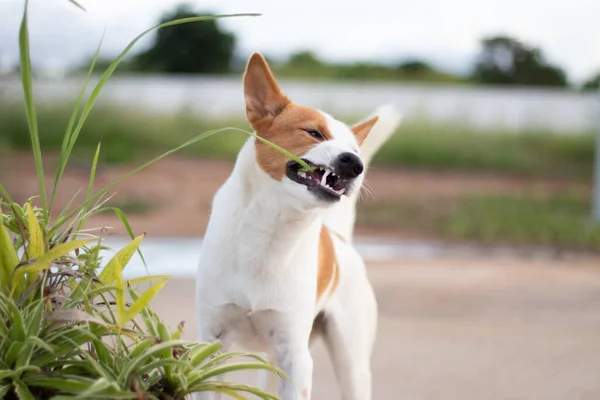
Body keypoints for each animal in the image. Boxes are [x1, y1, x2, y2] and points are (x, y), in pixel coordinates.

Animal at [197, 54, 400, 400]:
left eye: (355, 151)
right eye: (313, 133)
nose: (354, 164)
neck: (271, 234)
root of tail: (339, 240)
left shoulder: (295, 356)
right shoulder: (211, 343)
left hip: (351, 366)